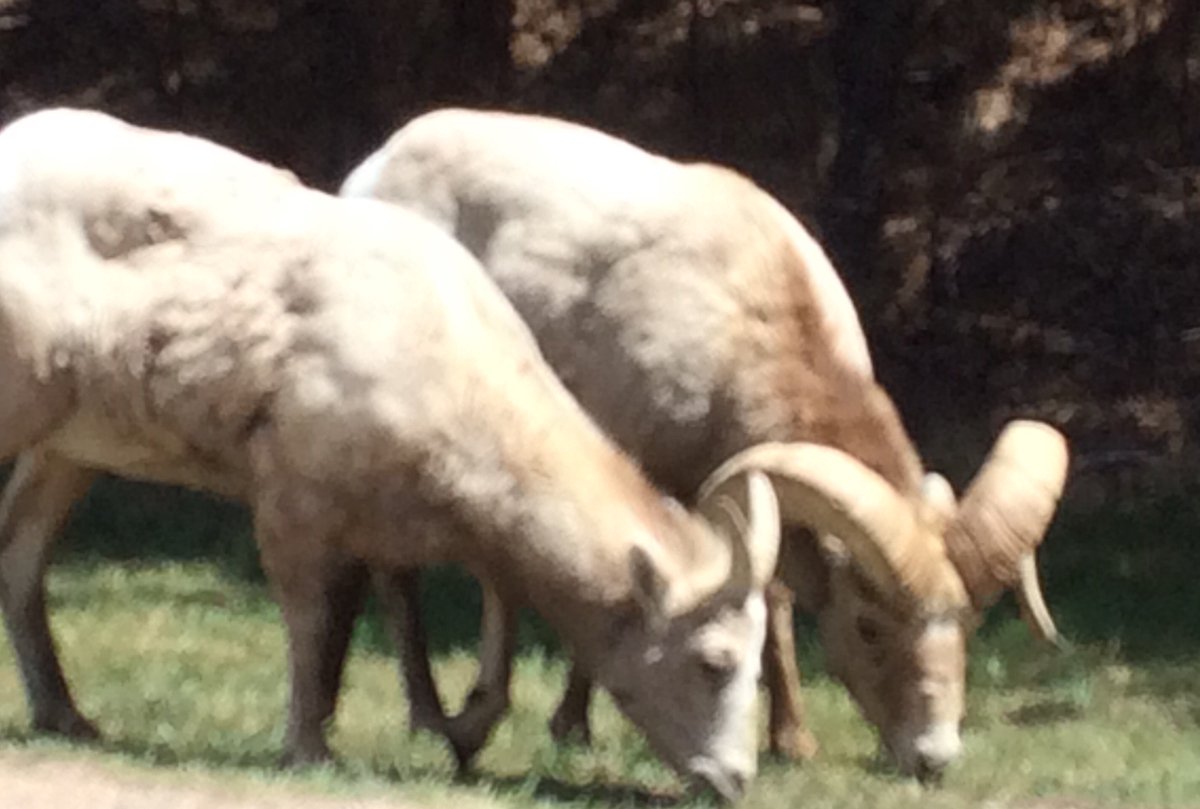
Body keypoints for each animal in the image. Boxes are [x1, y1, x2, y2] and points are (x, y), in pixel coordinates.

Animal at [0, 107, 796, 800]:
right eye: (713, 661)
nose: (735, 780)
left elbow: (463, 604)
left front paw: (458, 730)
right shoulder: (292, 502)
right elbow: (312, 621)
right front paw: (309, 747)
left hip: (70, 444)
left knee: (21, 550)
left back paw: (66, 715)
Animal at [339, 107, 1071, 780]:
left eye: (968, 624)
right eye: (869, 625)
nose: (933, 757)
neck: (744, 318)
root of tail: (376, 165)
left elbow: (774, 600)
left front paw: (791, 741)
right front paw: (572, 727)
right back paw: (429, 716)